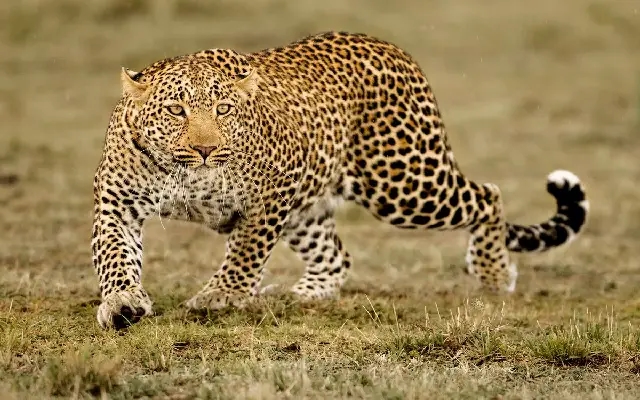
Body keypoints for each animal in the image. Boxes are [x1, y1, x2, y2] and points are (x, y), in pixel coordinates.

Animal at [92, 31, 589, 330]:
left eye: (224, 110)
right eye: (176, 111)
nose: (205, 150)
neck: (187, 176)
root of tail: (392, 48)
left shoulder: (275, 189)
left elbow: (246, 250)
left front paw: (221, 295)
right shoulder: (116, 201)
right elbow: (115, 256)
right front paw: (123, 303)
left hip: (404, 182)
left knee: (488, 195)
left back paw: (494, 273)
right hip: (312, 209)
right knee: (335, 256)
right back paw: (302, 295)